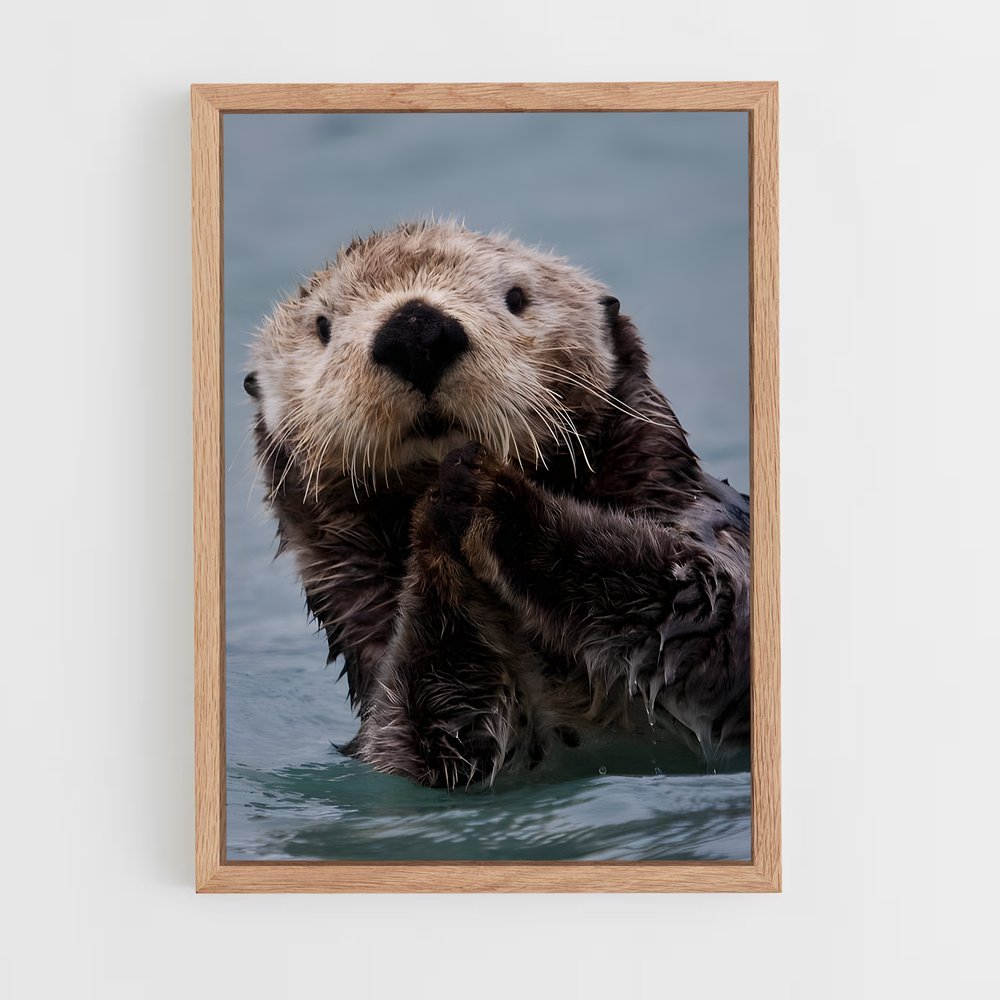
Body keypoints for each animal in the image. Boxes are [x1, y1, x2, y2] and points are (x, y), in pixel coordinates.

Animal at [245, 220, 750, 789]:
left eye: (516, 298)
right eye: (322, 326)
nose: (415, 332)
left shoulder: (709, 534)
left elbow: (709, 602)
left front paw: (484, 486)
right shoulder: (396, 716)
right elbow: (425, 736)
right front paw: (437, 521)